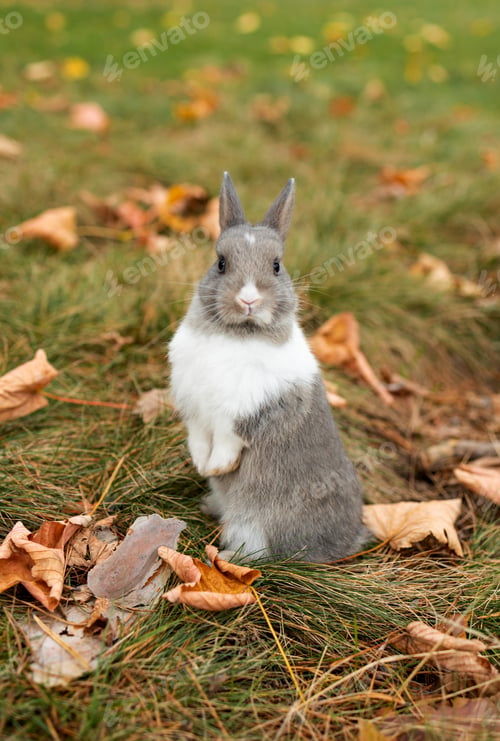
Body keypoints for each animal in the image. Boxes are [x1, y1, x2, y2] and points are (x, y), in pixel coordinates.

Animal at [168, 172, 366, 562]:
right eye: (221, 262)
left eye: (276, 265)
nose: (249, 300)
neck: (238, 333)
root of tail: (344, 544)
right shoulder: (195, 408)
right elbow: (198, 437)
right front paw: (202, 465)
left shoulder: (246, 410)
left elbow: (229, 439)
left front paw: (216, 467)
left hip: (257, 524)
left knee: (262, 555)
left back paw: (224, 556)